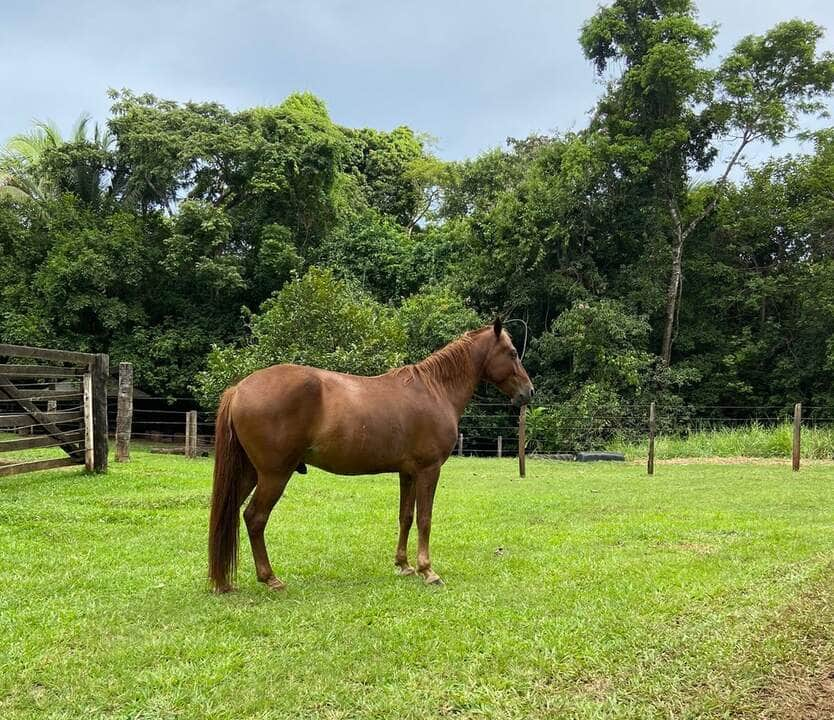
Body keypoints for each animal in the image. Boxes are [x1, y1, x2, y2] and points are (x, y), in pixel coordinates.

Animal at [208, 320, 532, 592]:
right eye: (513, 352)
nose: (528, 392)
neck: (435, 389)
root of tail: (239, 389)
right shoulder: (429, 470)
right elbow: (425, 518)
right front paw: (428, 570)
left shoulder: (408, 472)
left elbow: (406, 516)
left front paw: (404, 565)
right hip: (274, 475)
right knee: (254, 518)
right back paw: (270, 578)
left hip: (249, 473)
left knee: (230, 514)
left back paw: (223, 581)